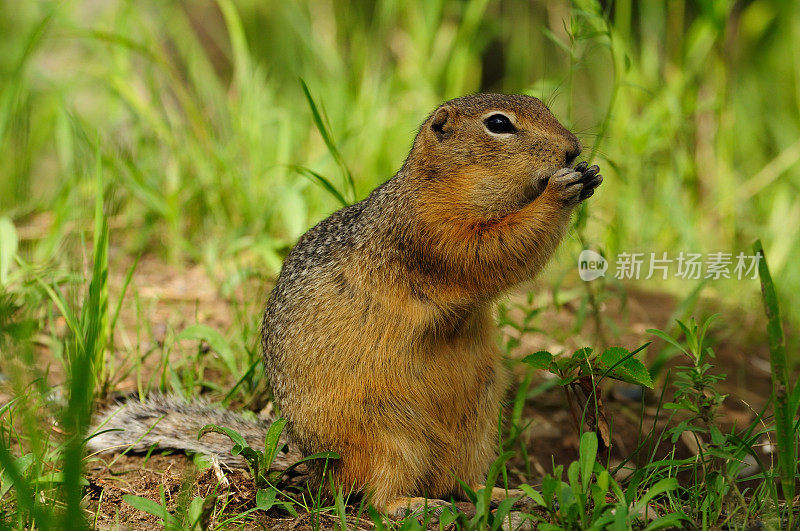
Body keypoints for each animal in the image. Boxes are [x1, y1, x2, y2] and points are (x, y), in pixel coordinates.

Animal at [89, 94, 600, 516]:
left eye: (544, 105)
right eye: (499, 124)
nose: (573, 149)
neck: (440, 186)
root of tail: (312, 461)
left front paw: (587, 177)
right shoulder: (429, 233)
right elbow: (494, 250)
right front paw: (559, 191)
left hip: (478, 424)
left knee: (461, 482)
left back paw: (503, 493)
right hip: (385, 437)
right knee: (377, 496)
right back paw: (414, 505)